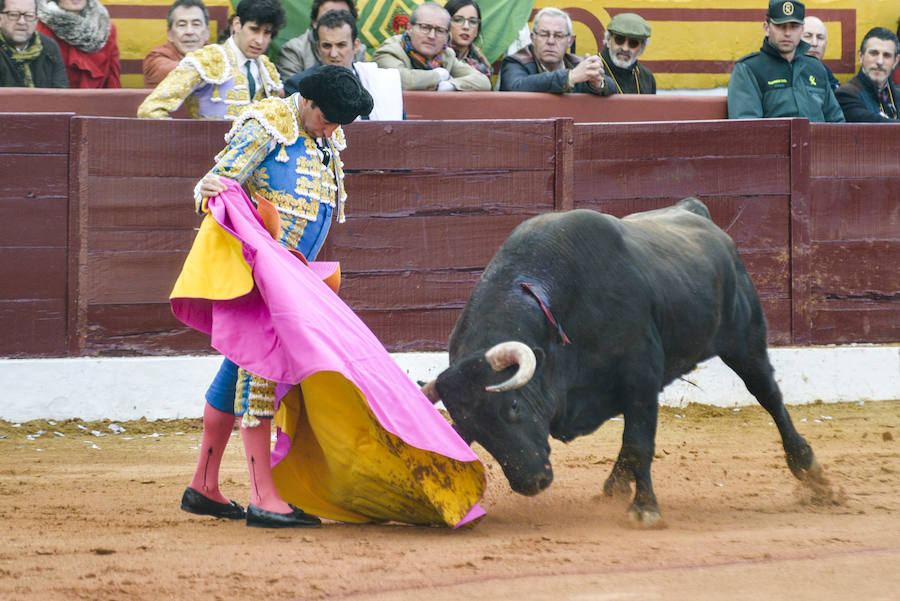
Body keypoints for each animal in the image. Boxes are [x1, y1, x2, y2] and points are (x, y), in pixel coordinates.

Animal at [426, 198, 828, 524]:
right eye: (472, 429)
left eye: (512, 406)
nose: (530, 483)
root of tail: (695, 211)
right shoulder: (634, 385)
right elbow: (635, 438)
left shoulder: (640, 374)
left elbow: (639, 443)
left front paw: (646, 509)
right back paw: (613, 487)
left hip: (745, 342)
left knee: (769, 395)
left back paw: (810, 470)